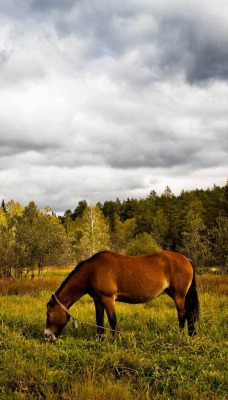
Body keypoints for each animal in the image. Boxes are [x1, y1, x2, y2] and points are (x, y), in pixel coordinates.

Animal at [44, 250, 198, 340]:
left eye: (49, 314)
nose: (46, 335)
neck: (91, 271)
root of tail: (187, 259)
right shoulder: (98, 300)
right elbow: (99, 320)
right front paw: (99, 339)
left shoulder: (108, 299)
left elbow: (112, 320)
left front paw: (115, 339)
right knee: (188, 313)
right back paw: (191, 335)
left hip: (179, 295)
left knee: (183, 314)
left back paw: (181, 335)